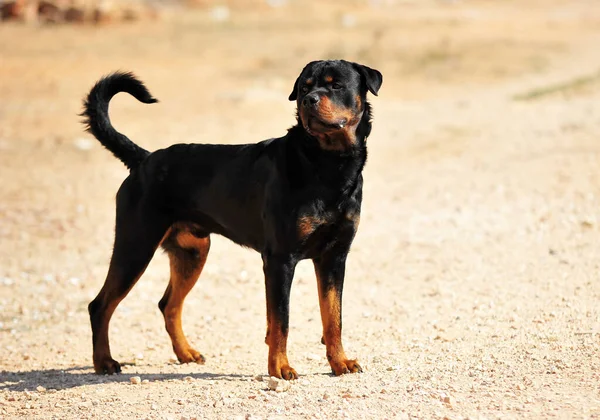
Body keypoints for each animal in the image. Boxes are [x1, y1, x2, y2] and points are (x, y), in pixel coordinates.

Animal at [82, 60, 382, 378]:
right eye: (304, 88)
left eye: (336, 85)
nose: (308, 101)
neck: (326, 164)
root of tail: (143, 160)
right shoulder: (280, 259)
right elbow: (281, 321)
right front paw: (280, 367)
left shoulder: (334, 257)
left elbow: (333, 317)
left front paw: (339, 362)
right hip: (136, 245)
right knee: (100, 305)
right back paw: (104, 362)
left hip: (192, 252)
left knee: (168, 305)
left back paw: (185, 353)